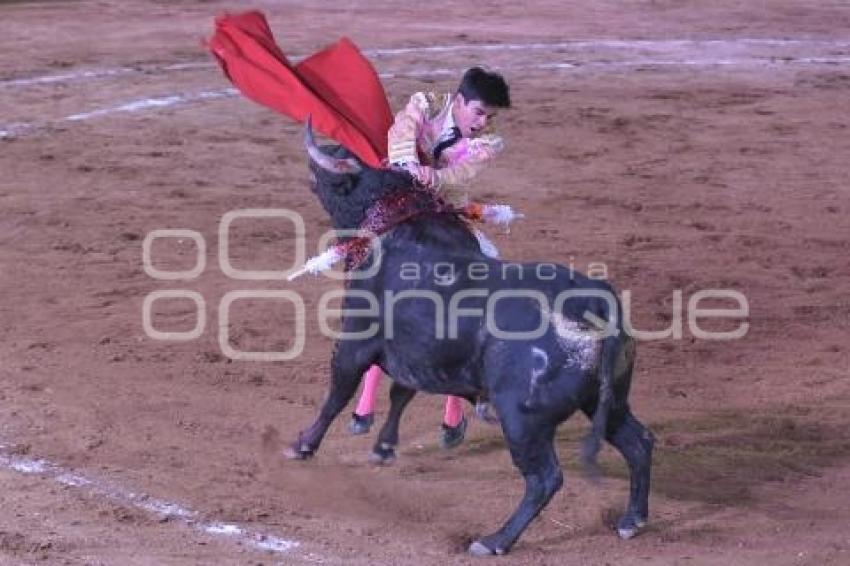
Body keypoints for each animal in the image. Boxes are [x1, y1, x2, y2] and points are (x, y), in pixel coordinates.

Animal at [286, 126, 656, 556]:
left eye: (340, 179)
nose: (328, 150)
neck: (399, 225)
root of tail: (593, 301)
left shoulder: (355, 340)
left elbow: (337, 393)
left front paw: (303, 445)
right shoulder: (420, 354)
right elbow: (401, 393)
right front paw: (384, 448)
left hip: (521, 418)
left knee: (545, 478)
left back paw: (495, 540)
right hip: (605, 401)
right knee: (638, 442)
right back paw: (631, 521)